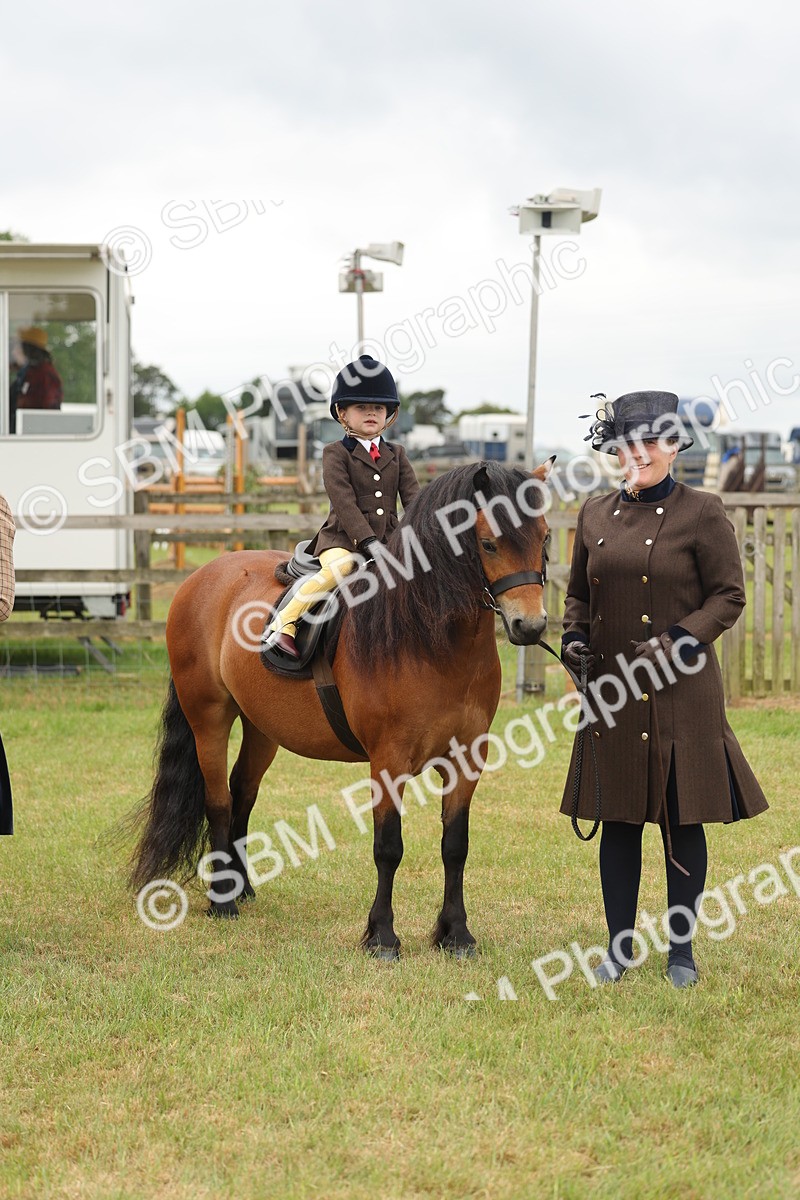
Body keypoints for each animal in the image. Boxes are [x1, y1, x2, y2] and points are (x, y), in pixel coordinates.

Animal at [129, 459, 553, 958]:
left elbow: (455, 845)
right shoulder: (388, 761)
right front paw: (382, 936)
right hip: (209, 717)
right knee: (218, 801)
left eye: (545, 537)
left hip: (262, 728)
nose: (530, 626)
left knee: (243, 793)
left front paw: (456, 934)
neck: (432, 641)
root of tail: (203, 577)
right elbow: (388, 847)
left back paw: (241, 887)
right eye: (488, 543)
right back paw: (222, 902)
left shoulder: (467, 758)